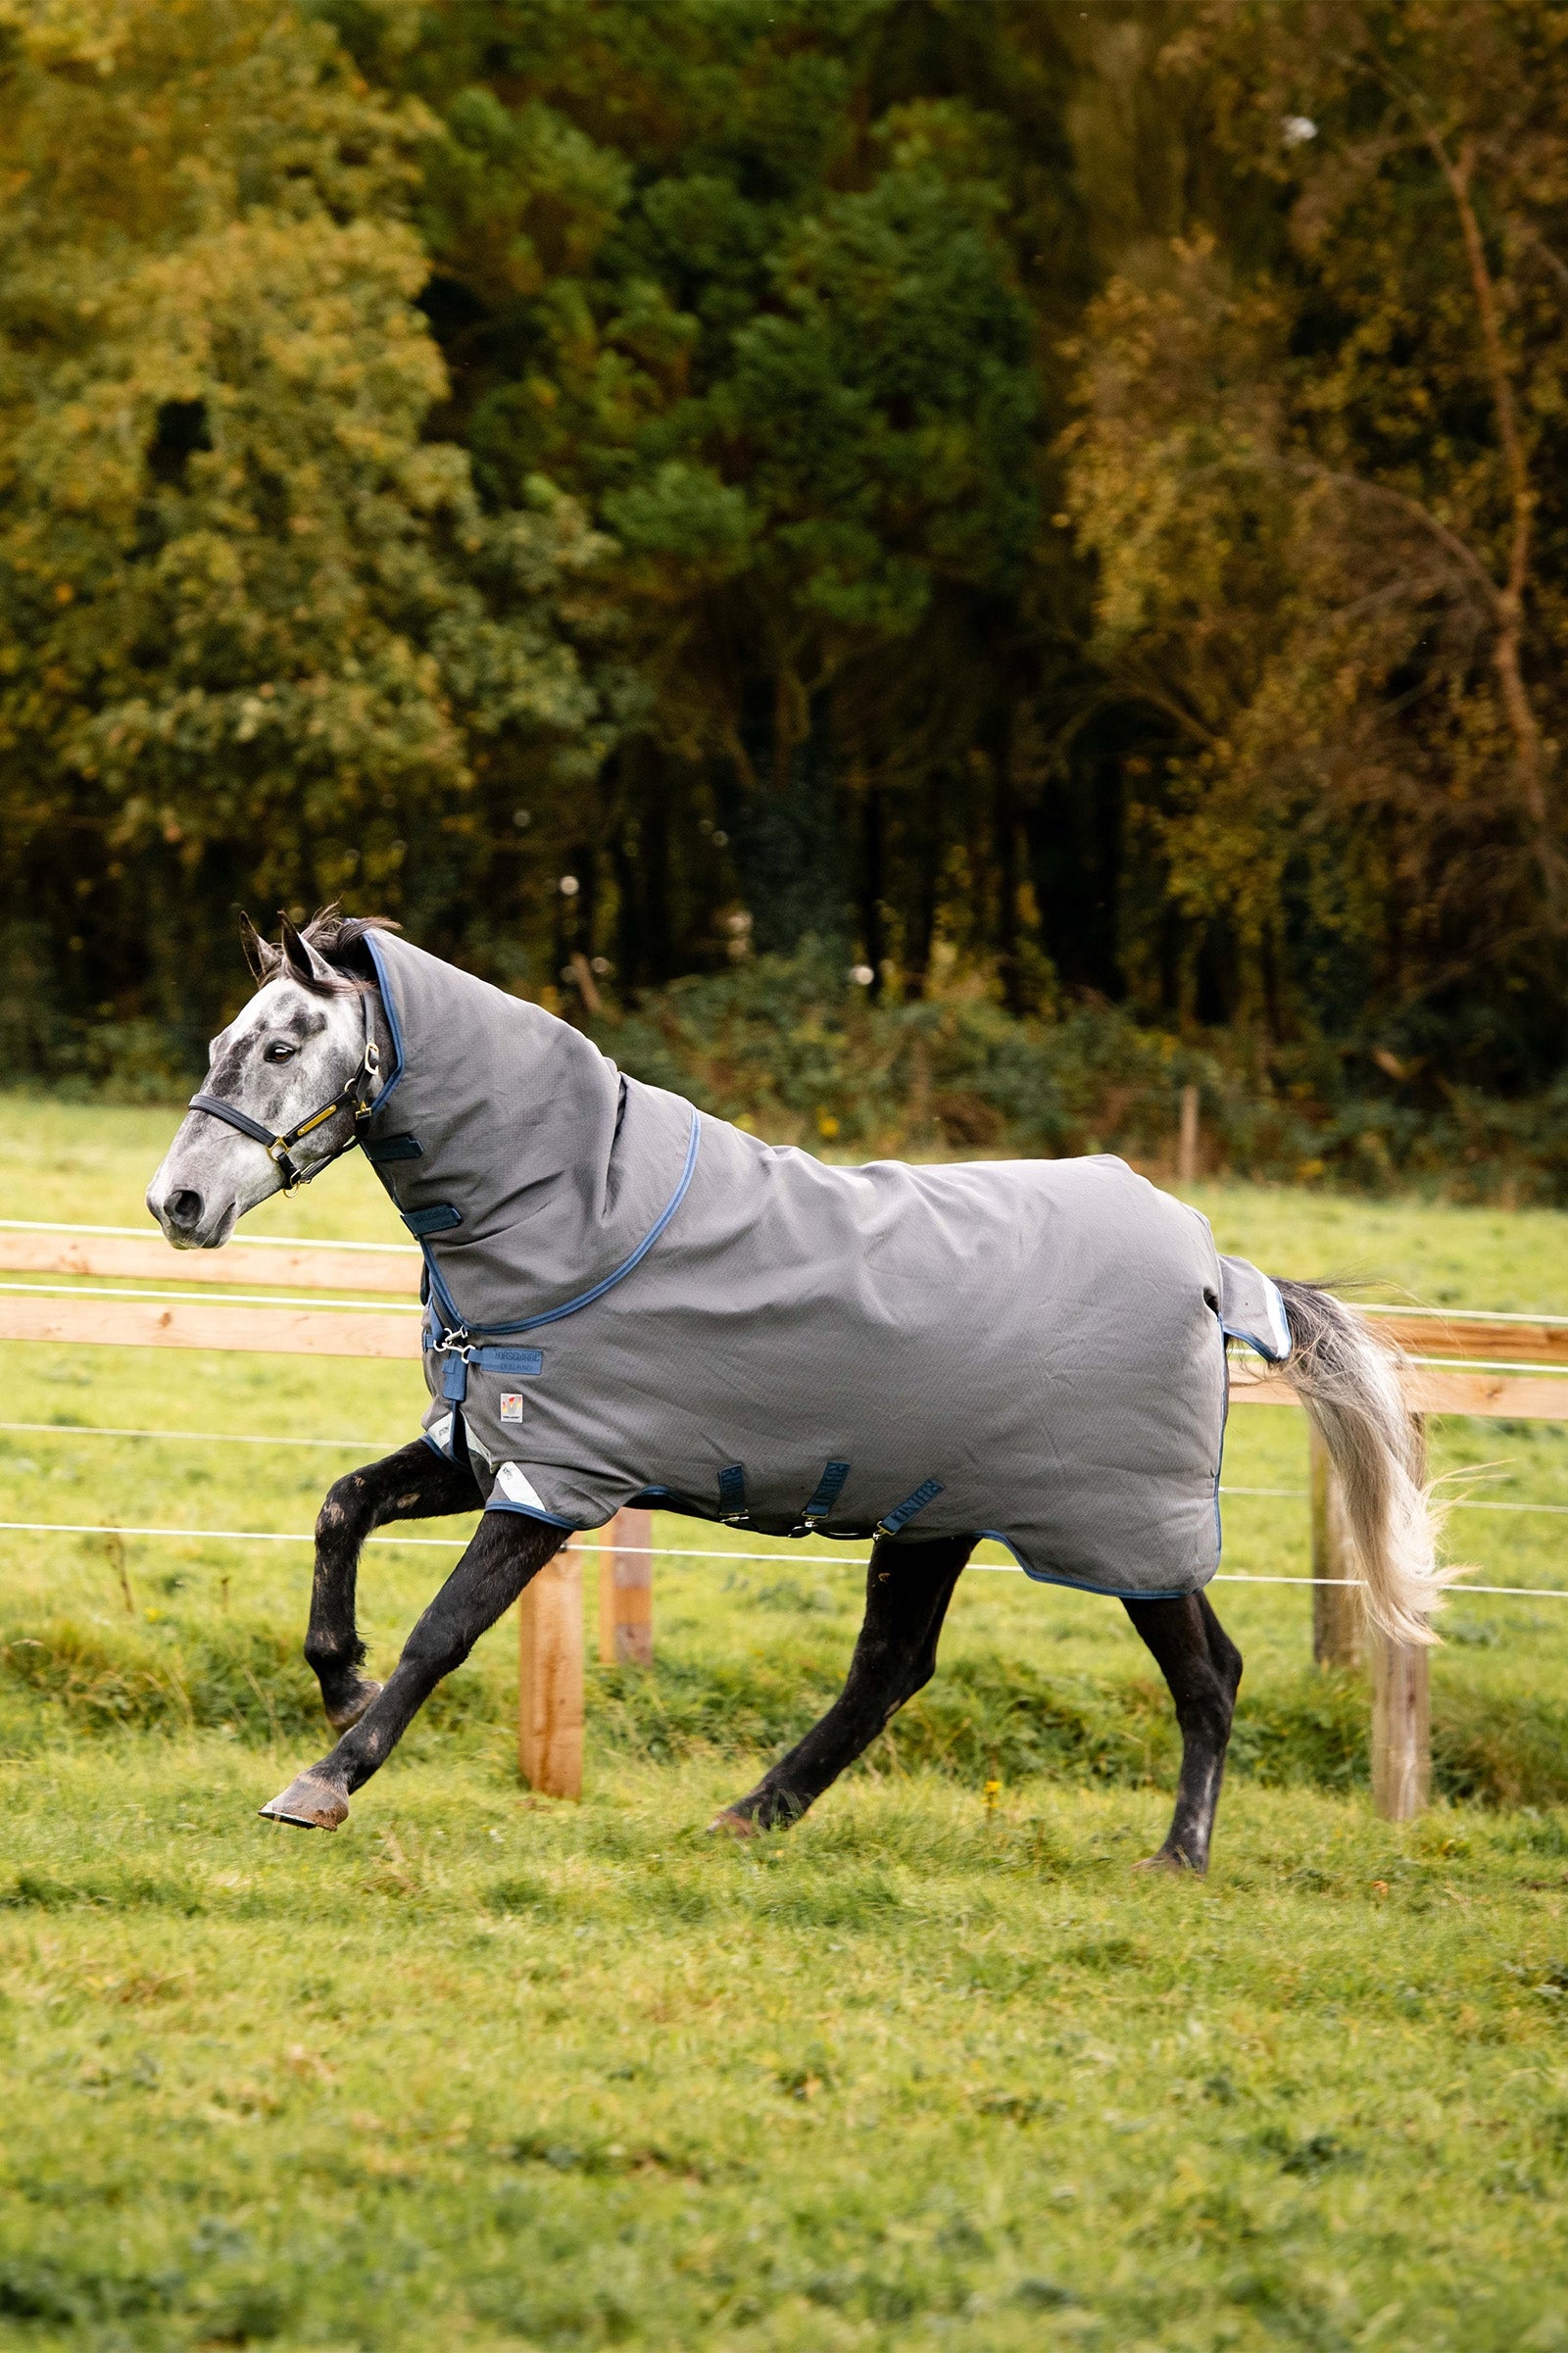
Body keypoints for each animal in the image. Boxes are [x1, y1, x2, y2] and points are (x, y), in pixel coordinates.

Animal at [146, 910, 1444, 1868]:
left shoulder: (554, 1484)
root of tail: (1217, 1270)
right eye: (223, 1040)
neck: (578, 1212)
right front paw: (337, 1681)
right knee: (889, 1671)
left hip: (1121, 1527)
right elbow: (340, 1508)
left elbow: (442, 1632)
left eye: (280, 1047)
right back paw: (749, 1814)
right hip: (936, 1515)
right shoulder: (488, 1447)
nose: (178, 1204)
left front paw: (324, 1778)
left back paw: (1177, 1855)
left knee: (1206, 1673)